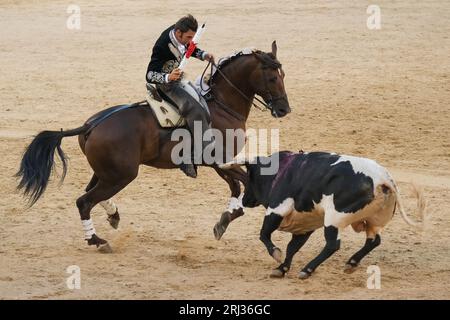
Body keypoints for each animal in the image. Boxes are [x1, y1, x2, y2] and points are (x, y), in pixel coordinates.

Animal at [15, 41, 290, 251]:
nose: (284, 109)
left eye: (283, 76)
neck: (221, 105)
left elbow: (236, 187)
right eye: (272, 77)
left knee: (90, 194)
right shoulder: (220, 160)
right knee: (84, 201)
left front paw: (224, 221)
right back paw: (97, 240)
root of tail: (91, 125)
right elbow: (246, 183)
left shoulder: (219, 164)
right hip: (121, 175)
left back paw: (113, 215)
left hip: (107, 173)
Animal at [223, 151, 424, 278]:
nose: (245, 200)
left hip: (334, 219)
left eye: (250, 175)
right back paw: (351, 262)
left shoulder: (276, 210)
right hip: (373, 221)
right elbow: (292, 247)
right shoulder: (305, 225)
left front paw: (276, 255)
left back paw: (308, 269)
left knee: (333, 244)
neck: (281, 171)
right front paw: (282, 268)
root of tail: (383, 178)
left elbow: (264, 234)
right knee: (373, 240)